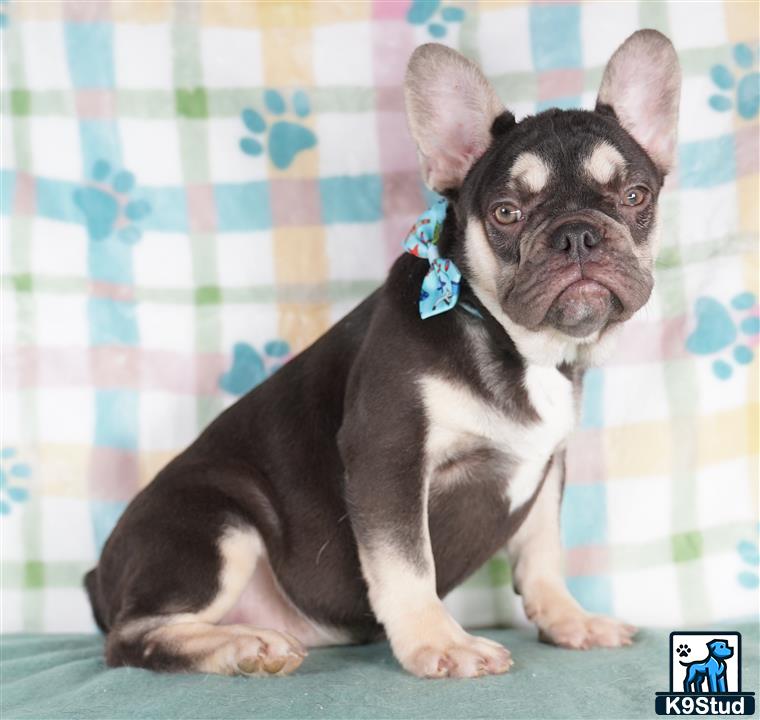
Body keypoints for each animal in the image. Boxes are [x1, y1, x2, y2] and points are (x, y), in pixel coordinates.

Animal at [86, 29, 680, 680]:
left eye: (635, 196)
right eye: (506, 212)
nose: (578, 233)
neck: (520, 349)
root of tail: (97, 577)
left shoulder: (548, 468)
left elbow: (543, 553)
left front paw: (570, 619)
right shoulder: (388, 456)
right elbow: (406, 562)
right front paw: (440, 643)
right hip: (215, 525)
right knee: (134, 637)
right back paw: (241, 647)